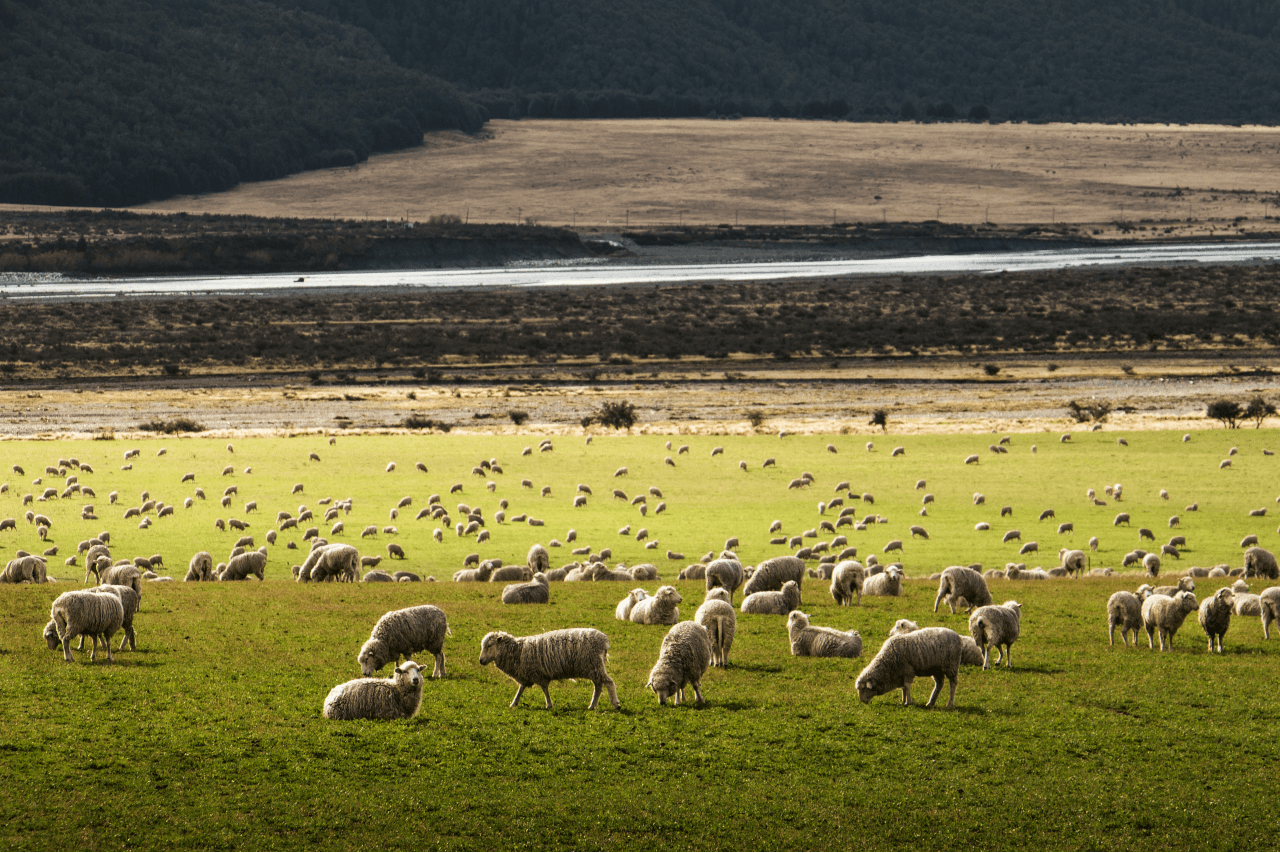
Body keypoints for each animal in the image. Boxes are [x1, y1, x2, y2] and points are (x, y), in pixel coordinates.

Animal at [479, 628, 620, 710]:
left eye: (489, 645)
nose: (481, 661)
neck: (518, 651)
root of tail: (604, 640)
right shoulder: (526, 674)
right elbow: (521, 689)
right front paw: (514, 703)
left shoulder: (537, 674)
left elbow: (544, 689)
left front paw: (549, 705)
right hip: (594, 667)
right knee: (599, 686)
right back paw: (592, 706)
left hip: (594, 665)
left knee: (609, 682)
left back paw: (615, 704)